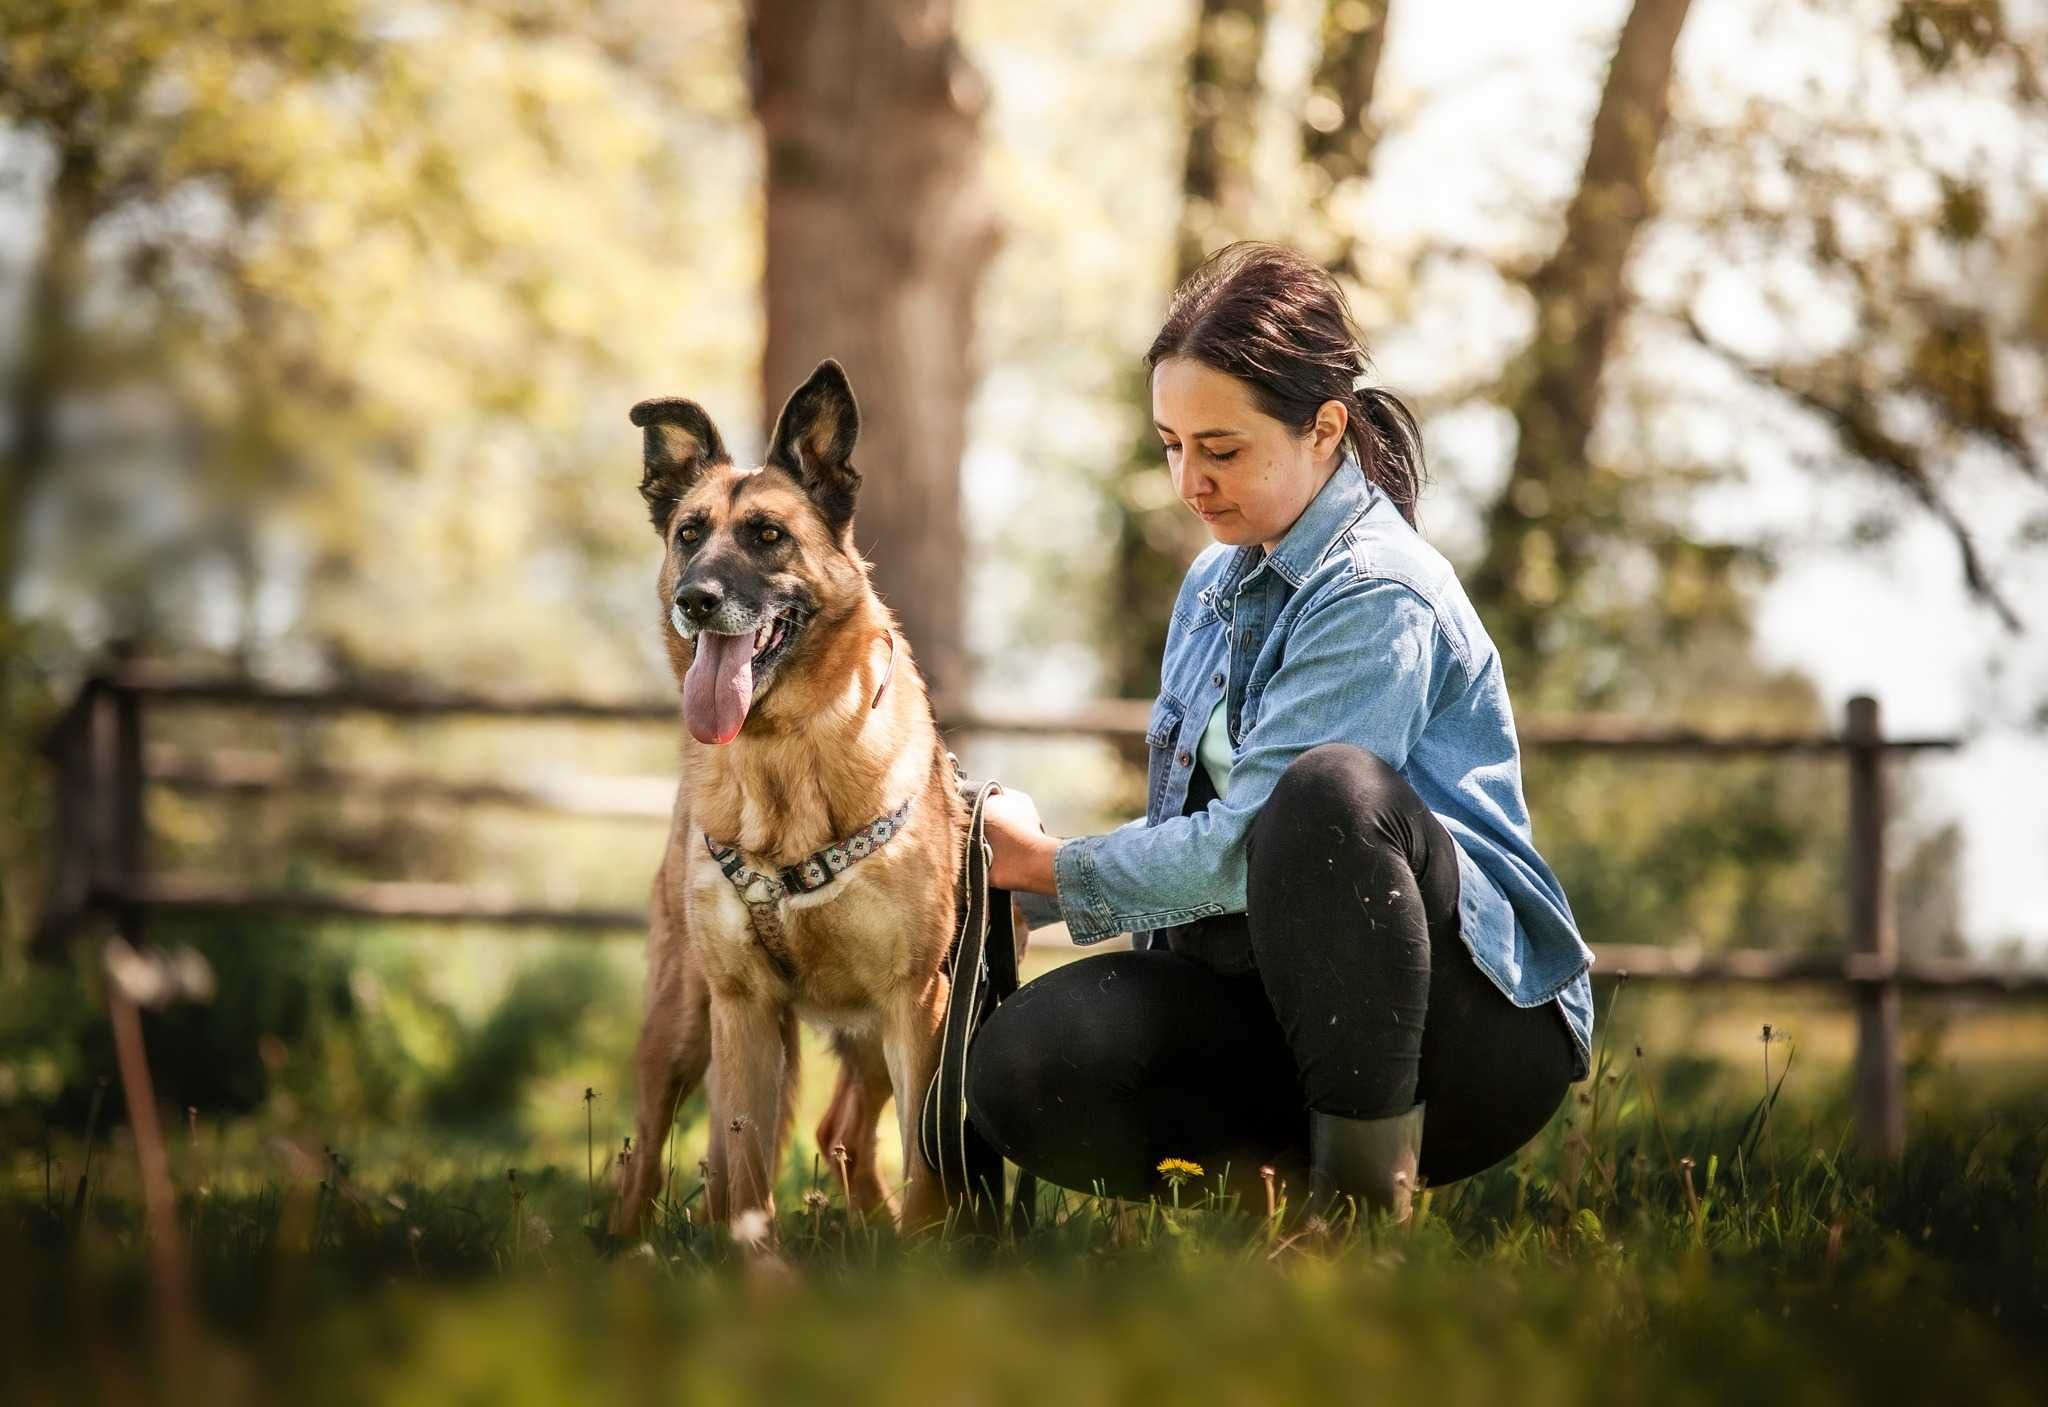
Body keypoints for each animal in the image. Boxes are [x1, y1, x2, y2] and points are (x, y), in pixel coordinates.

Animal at [610, 360, 978, 1245]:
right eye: (689, 533)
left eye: (767, 535)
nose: (696, 599)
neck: (784, 755)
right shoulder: (742, 1006)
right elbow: (743, 1172)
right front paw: (756, 1264)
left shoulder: (916, 999)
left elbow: (926, 1159)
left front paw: (926, 1255)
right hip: (682, 1021)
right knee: (647, 1155)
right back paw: (623, 1246)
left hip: (877, 1034)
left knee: (843, 1133)